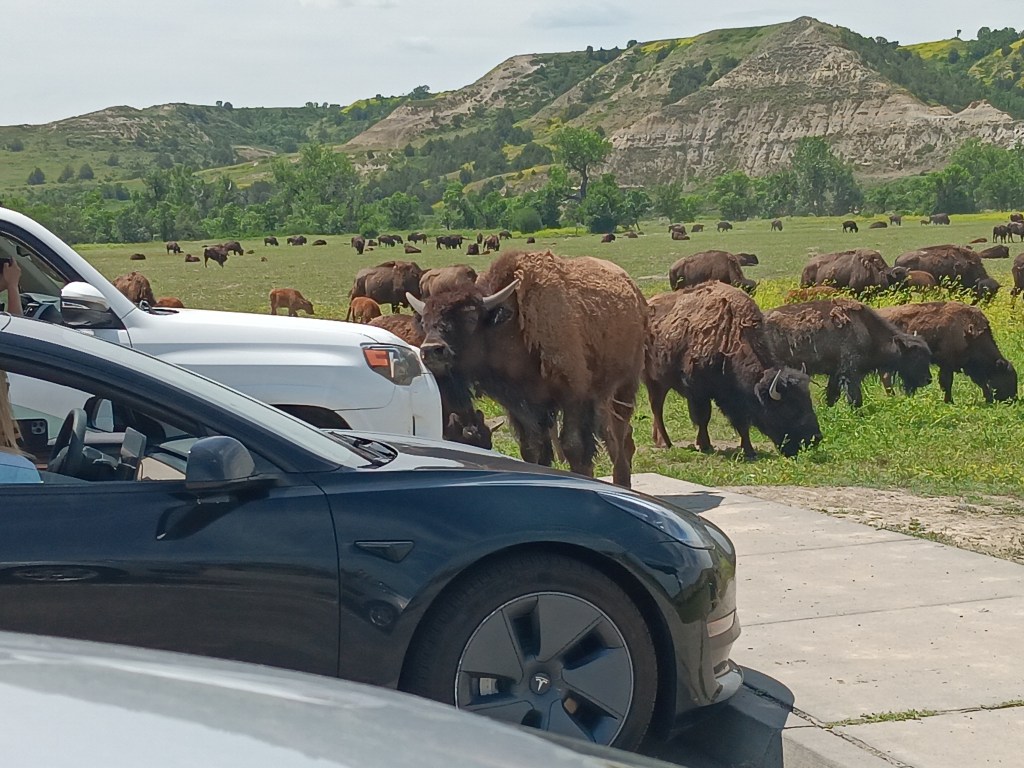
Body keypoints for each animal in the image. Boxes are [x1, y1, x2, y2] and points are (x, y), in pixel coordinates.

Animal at [644, 283, 820, 458]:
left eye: (808, 402)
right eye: (789, 408)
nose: (815, 438)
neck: (730, 334)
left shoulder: (734, 397)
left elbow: (742, 423)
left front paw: (749, 451)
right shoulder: (697, 391)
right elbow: (703, 418)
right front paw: (705, 445)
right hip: (653, 381)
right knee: (657, 408)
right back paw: (666, 443)